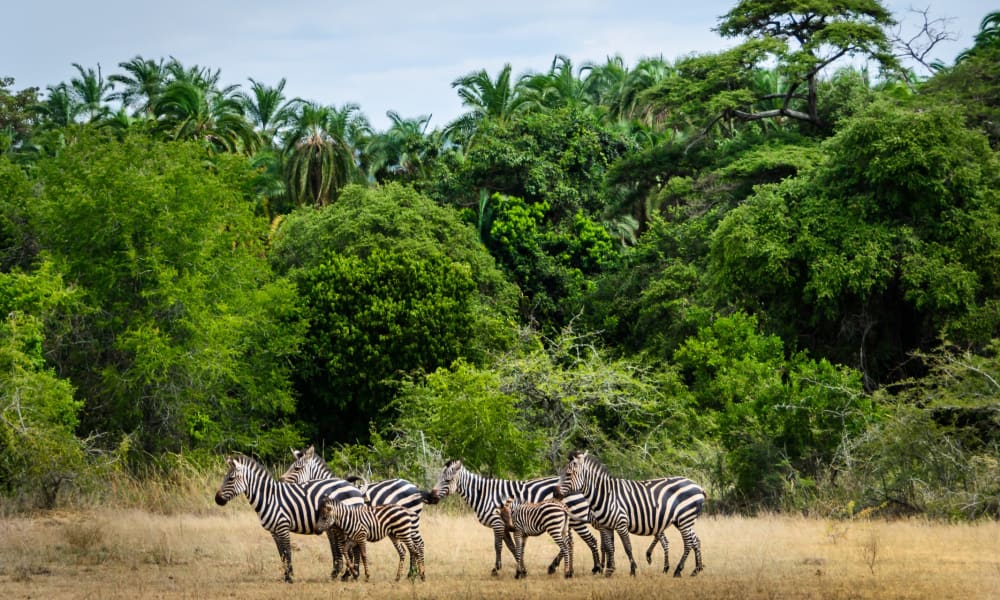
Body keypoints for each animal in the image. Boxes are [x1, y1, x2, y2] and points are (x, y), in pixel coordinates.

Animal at [213, 454, 366, 580]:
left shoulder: (283, 526)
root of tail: (352, 486)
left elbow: (287, 552)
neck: (269, 498)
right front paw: (286, 575)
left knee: (355, 547)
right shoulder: (274, 531)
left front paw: (290, 576)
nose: (217, 499)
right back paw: (349, 574)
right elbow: (281, 553)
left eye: (231, 478)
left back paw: (352, 574)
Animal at [430, 460, 600, 576]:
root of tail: (583, 486)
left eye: (447, 480)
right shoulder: (505, 526)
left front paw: (496, 569)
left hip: (576, 519)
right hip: (567, 522)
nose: (431, 496)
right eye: (439, 478)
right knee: (570, 542)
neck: (484, 495)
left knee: (590, 540)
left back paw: (596, 568)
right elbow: (513, 547)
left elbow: (498, 546)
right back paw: (556, 567)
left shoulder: (497, 523)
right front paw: (522, 569)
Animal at [556, 452, 704, 580]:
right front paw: (609, 570)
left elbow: (627, 547)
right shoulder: (606, 526)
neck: (605, 495)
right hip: (684, 520)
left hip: (685, 518)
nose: (555, 493)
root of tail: (698, 486)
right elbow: (609, 548)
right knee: (695, 540)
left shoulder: (621, 523)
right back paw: (696, 569)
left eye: (568, 474)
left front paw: (632, 570)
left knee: (688, 543)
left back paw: (678, 570)